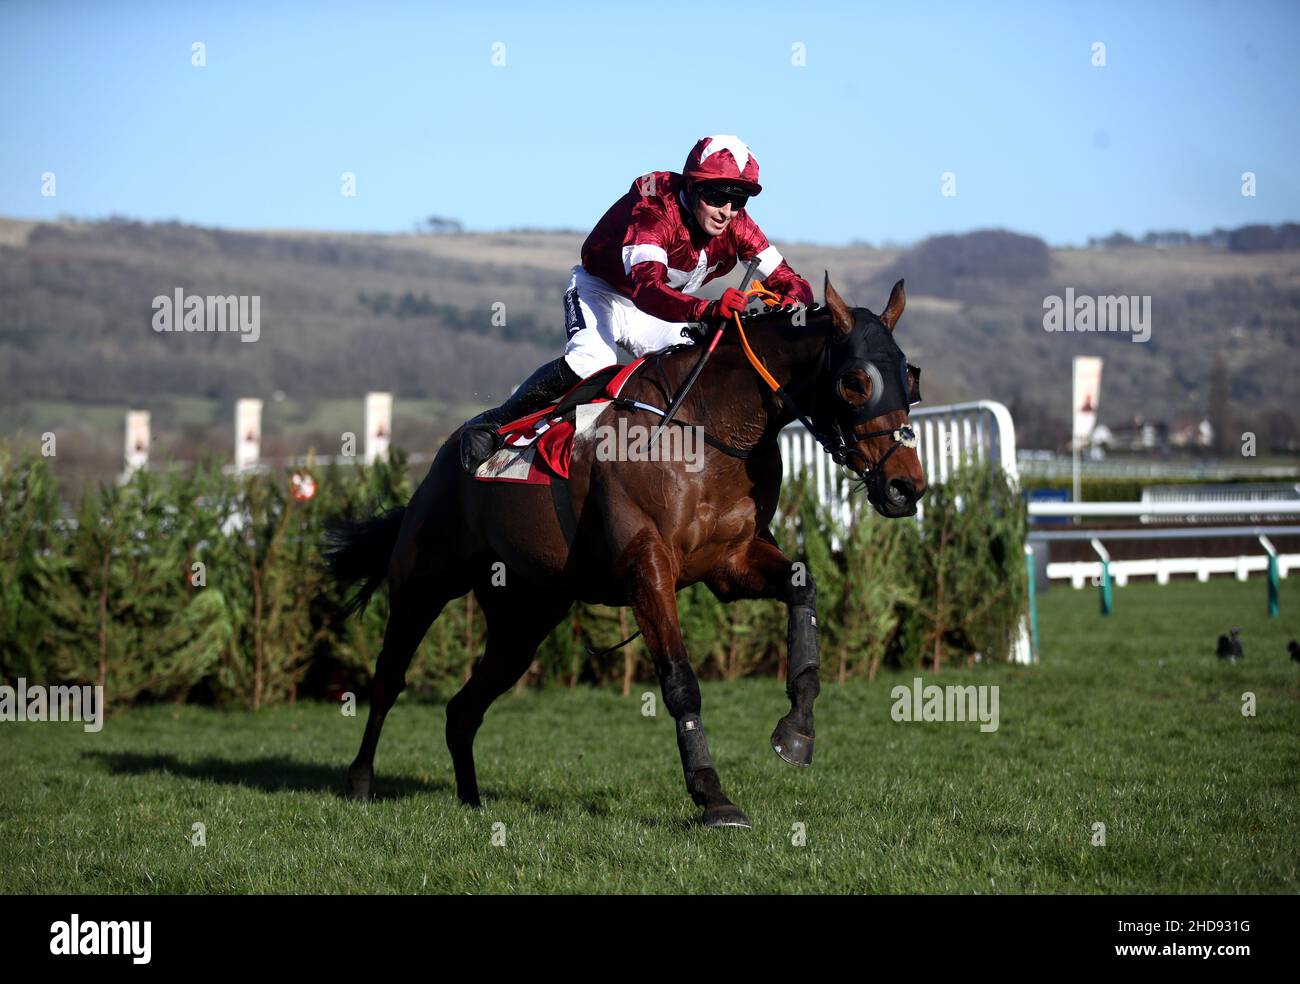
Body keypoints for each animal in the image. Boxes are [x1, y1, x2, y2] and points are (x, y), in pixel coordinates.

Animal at [330, 272, 930, 826]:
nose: (907, 487)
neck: (710, 424)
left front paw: (797, 730)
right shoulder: (647, 565)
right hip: (423, 584)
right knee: (388, 679)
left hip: (524, 618)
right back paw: (359, 782)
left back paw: (471, 800)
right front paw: (712, 797)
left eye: (910, 376)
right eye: (856, 381)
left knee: (463, 708)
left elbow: (803, 590)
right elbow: (681, 683)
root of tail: (437, 465)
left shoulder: (730, 564)